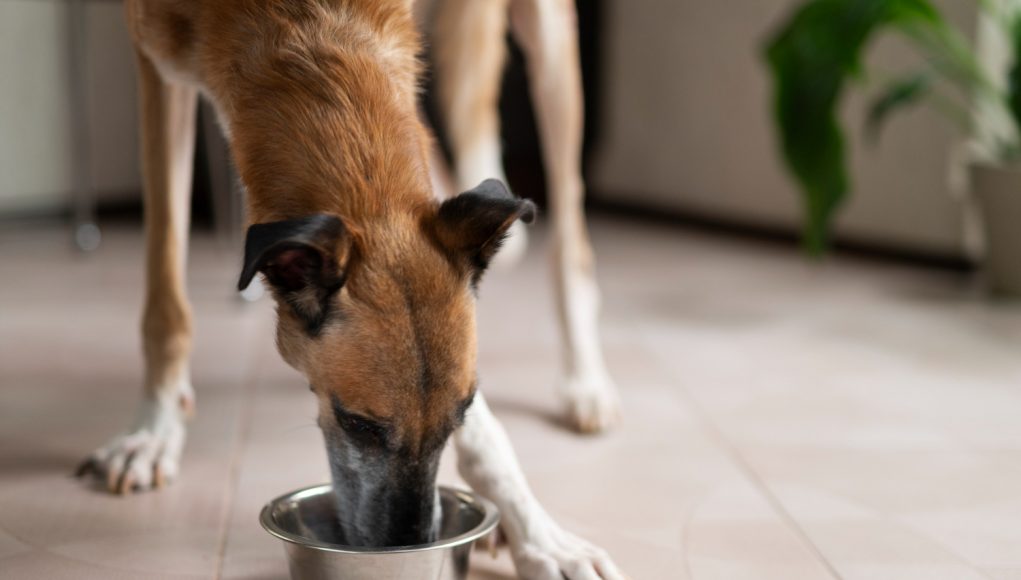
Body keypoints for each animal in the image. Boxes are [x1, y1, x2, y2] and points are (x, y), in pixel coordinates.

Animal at [74, 2, 620, 575]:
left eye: (461, 415)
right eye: (358, 425)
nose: (414, 542)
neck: (304, 26)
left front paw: (538, 536)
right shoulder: (156, 69)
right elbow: (165, 298)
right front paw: (154, 429)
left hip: (548, 43)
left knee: (570, 239)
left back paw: (585, 382)